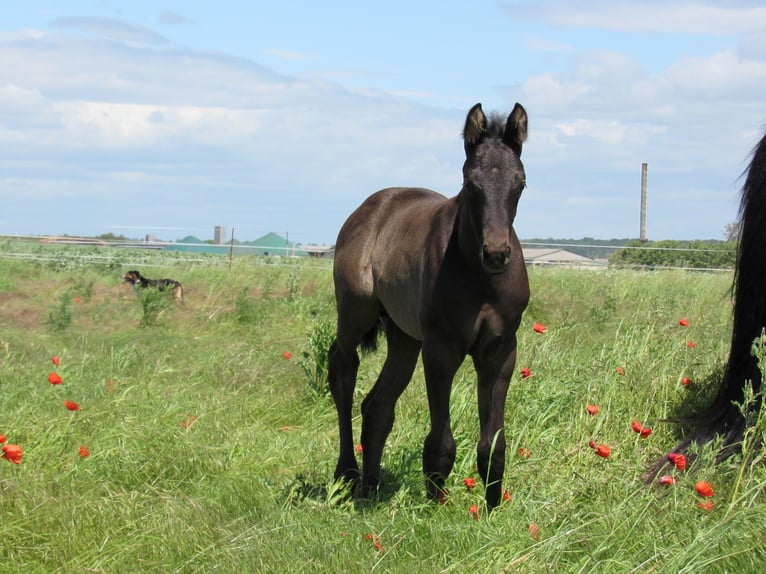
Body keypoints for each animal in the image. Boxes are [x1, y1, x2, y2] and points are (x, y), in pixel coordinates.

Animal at [328, 103, 529, 510]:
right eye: (470, 184)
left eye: (520, 183)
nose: (496, 253)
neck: (480, 279)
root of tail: (369, 208)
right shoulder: (441, 349)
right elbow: (440, 442)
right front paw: (435, 508)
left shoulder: (501, 350)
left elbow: (494, 444)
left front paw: (492, 510)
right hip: (356, 312)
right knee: (343, 368)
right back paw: (348, 473)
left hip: (404, 337)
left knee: (377, 406)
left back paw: (370, 488)